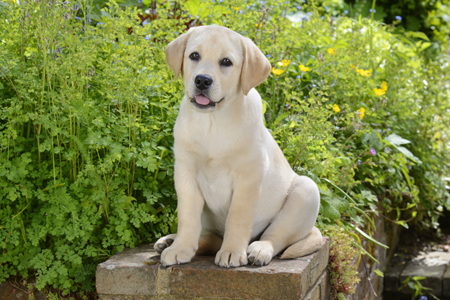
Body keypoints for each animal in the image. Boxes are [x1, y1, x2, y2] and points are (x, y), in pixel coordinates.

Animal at [156, 24, 324, 266]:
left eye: (226, 62)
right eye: (194, 56)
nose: (202, 80)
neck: (213, 122)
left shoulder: (248, 177)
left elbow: (238, 217)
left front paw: (232, 252)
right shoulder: (185, 172)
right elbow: (187, 217)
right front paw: (180, 248)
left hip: (306, 191)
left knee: (275, 236)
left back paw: (259, 250)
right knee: (211, 238)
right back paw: (171, 240)